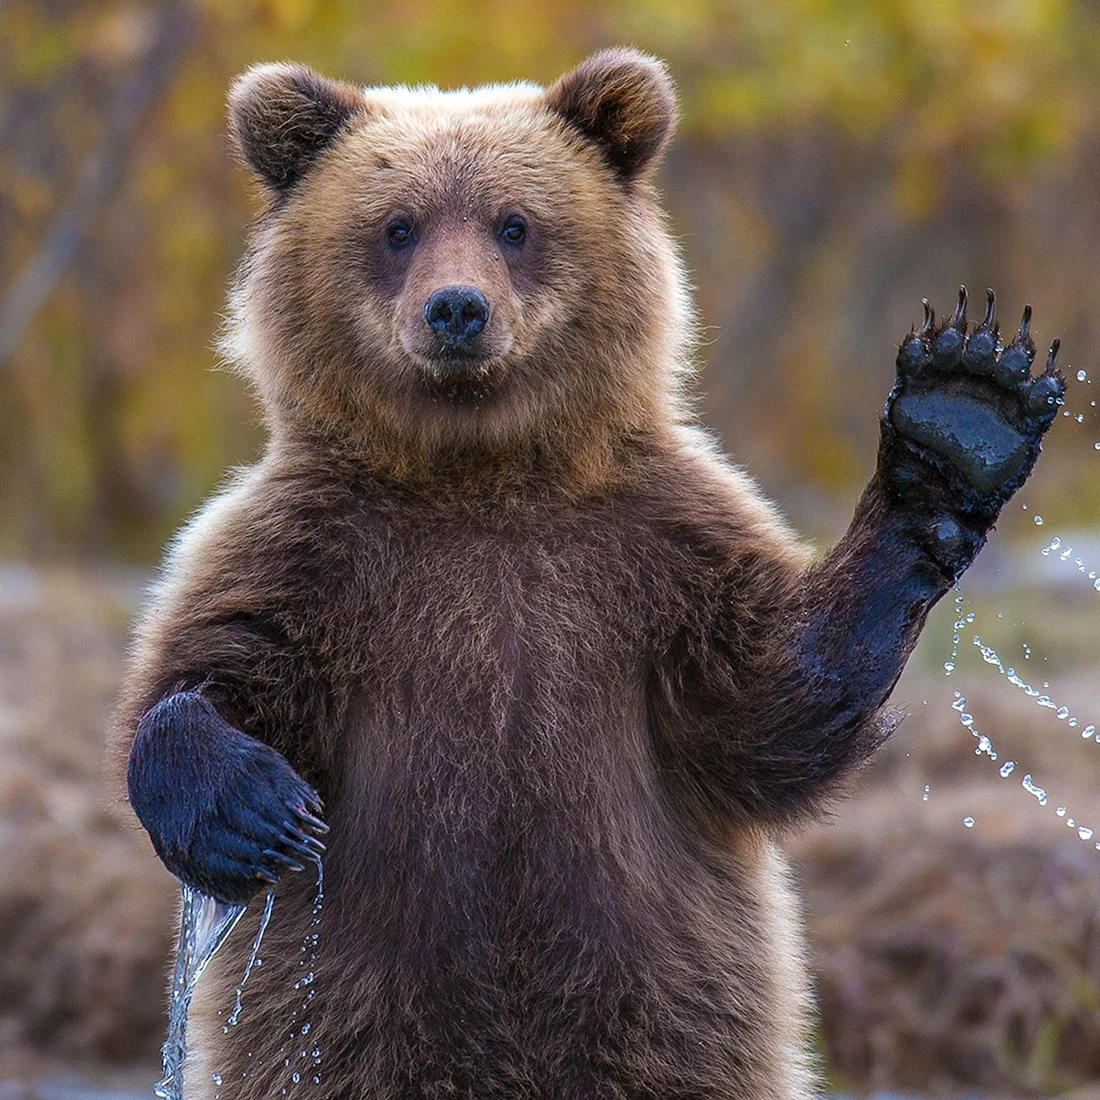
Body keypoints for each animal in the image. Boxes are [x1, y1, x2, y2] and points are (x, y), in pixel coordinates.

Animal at [114, 48, 1065, 1100]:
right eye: (398, 226)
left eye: (514, 223)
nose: (458, 309)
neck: (480, 475)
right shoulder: (314, 552)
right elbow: (211, 668)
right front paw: (251, 810)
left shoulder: (653, 552)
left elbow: (770, 704)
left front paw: (962, 413)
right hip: (335, 1020)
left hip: (667, 1012)